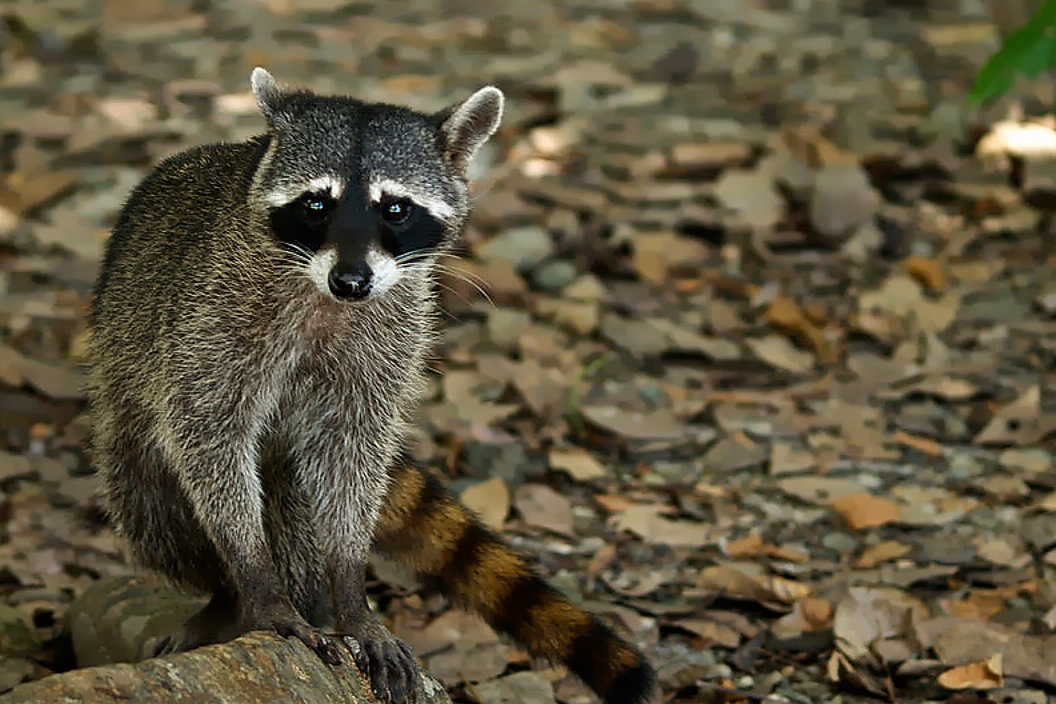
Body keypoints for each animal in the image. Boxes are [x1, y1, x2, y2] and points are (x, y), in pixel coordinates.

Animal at [86, 67, 654, 704]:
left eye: (396, 208)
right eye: (316, 204)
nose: (351, 280)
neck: (324, 295)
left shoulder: (390, 336)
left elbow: (351, 452)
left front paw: (349, 584)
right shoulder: (209, 322)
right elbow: (209, 433)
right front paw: (256, 576)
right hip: (126, 406)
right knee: (149, 502)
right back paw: (227, 598)